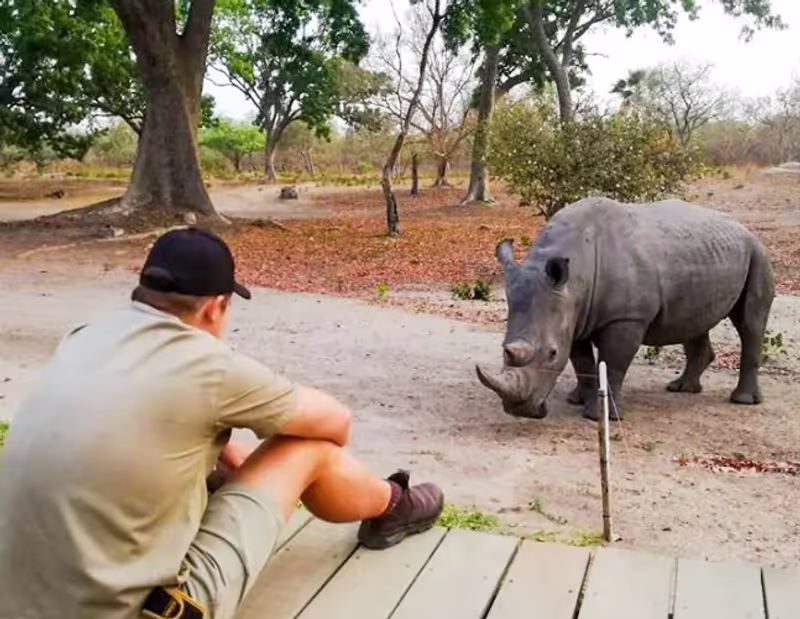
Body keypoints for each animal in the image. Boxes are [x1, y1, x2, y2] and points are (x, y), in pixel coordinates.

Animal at [476, 196, 775, 421]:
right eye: (503, 348)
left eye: (551, 354)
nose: (520, 411)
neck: (575, 278)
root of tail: (743, 227)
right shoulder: (573, 315)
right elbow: (583, 363)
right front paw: (577, 400)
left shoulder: (626, 318)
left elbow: (613, 363)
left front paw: (599, 416)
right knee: (693, 320)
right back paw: (681, 389)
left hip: (757, 253)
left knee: (749, 324)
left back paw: (742, 400)